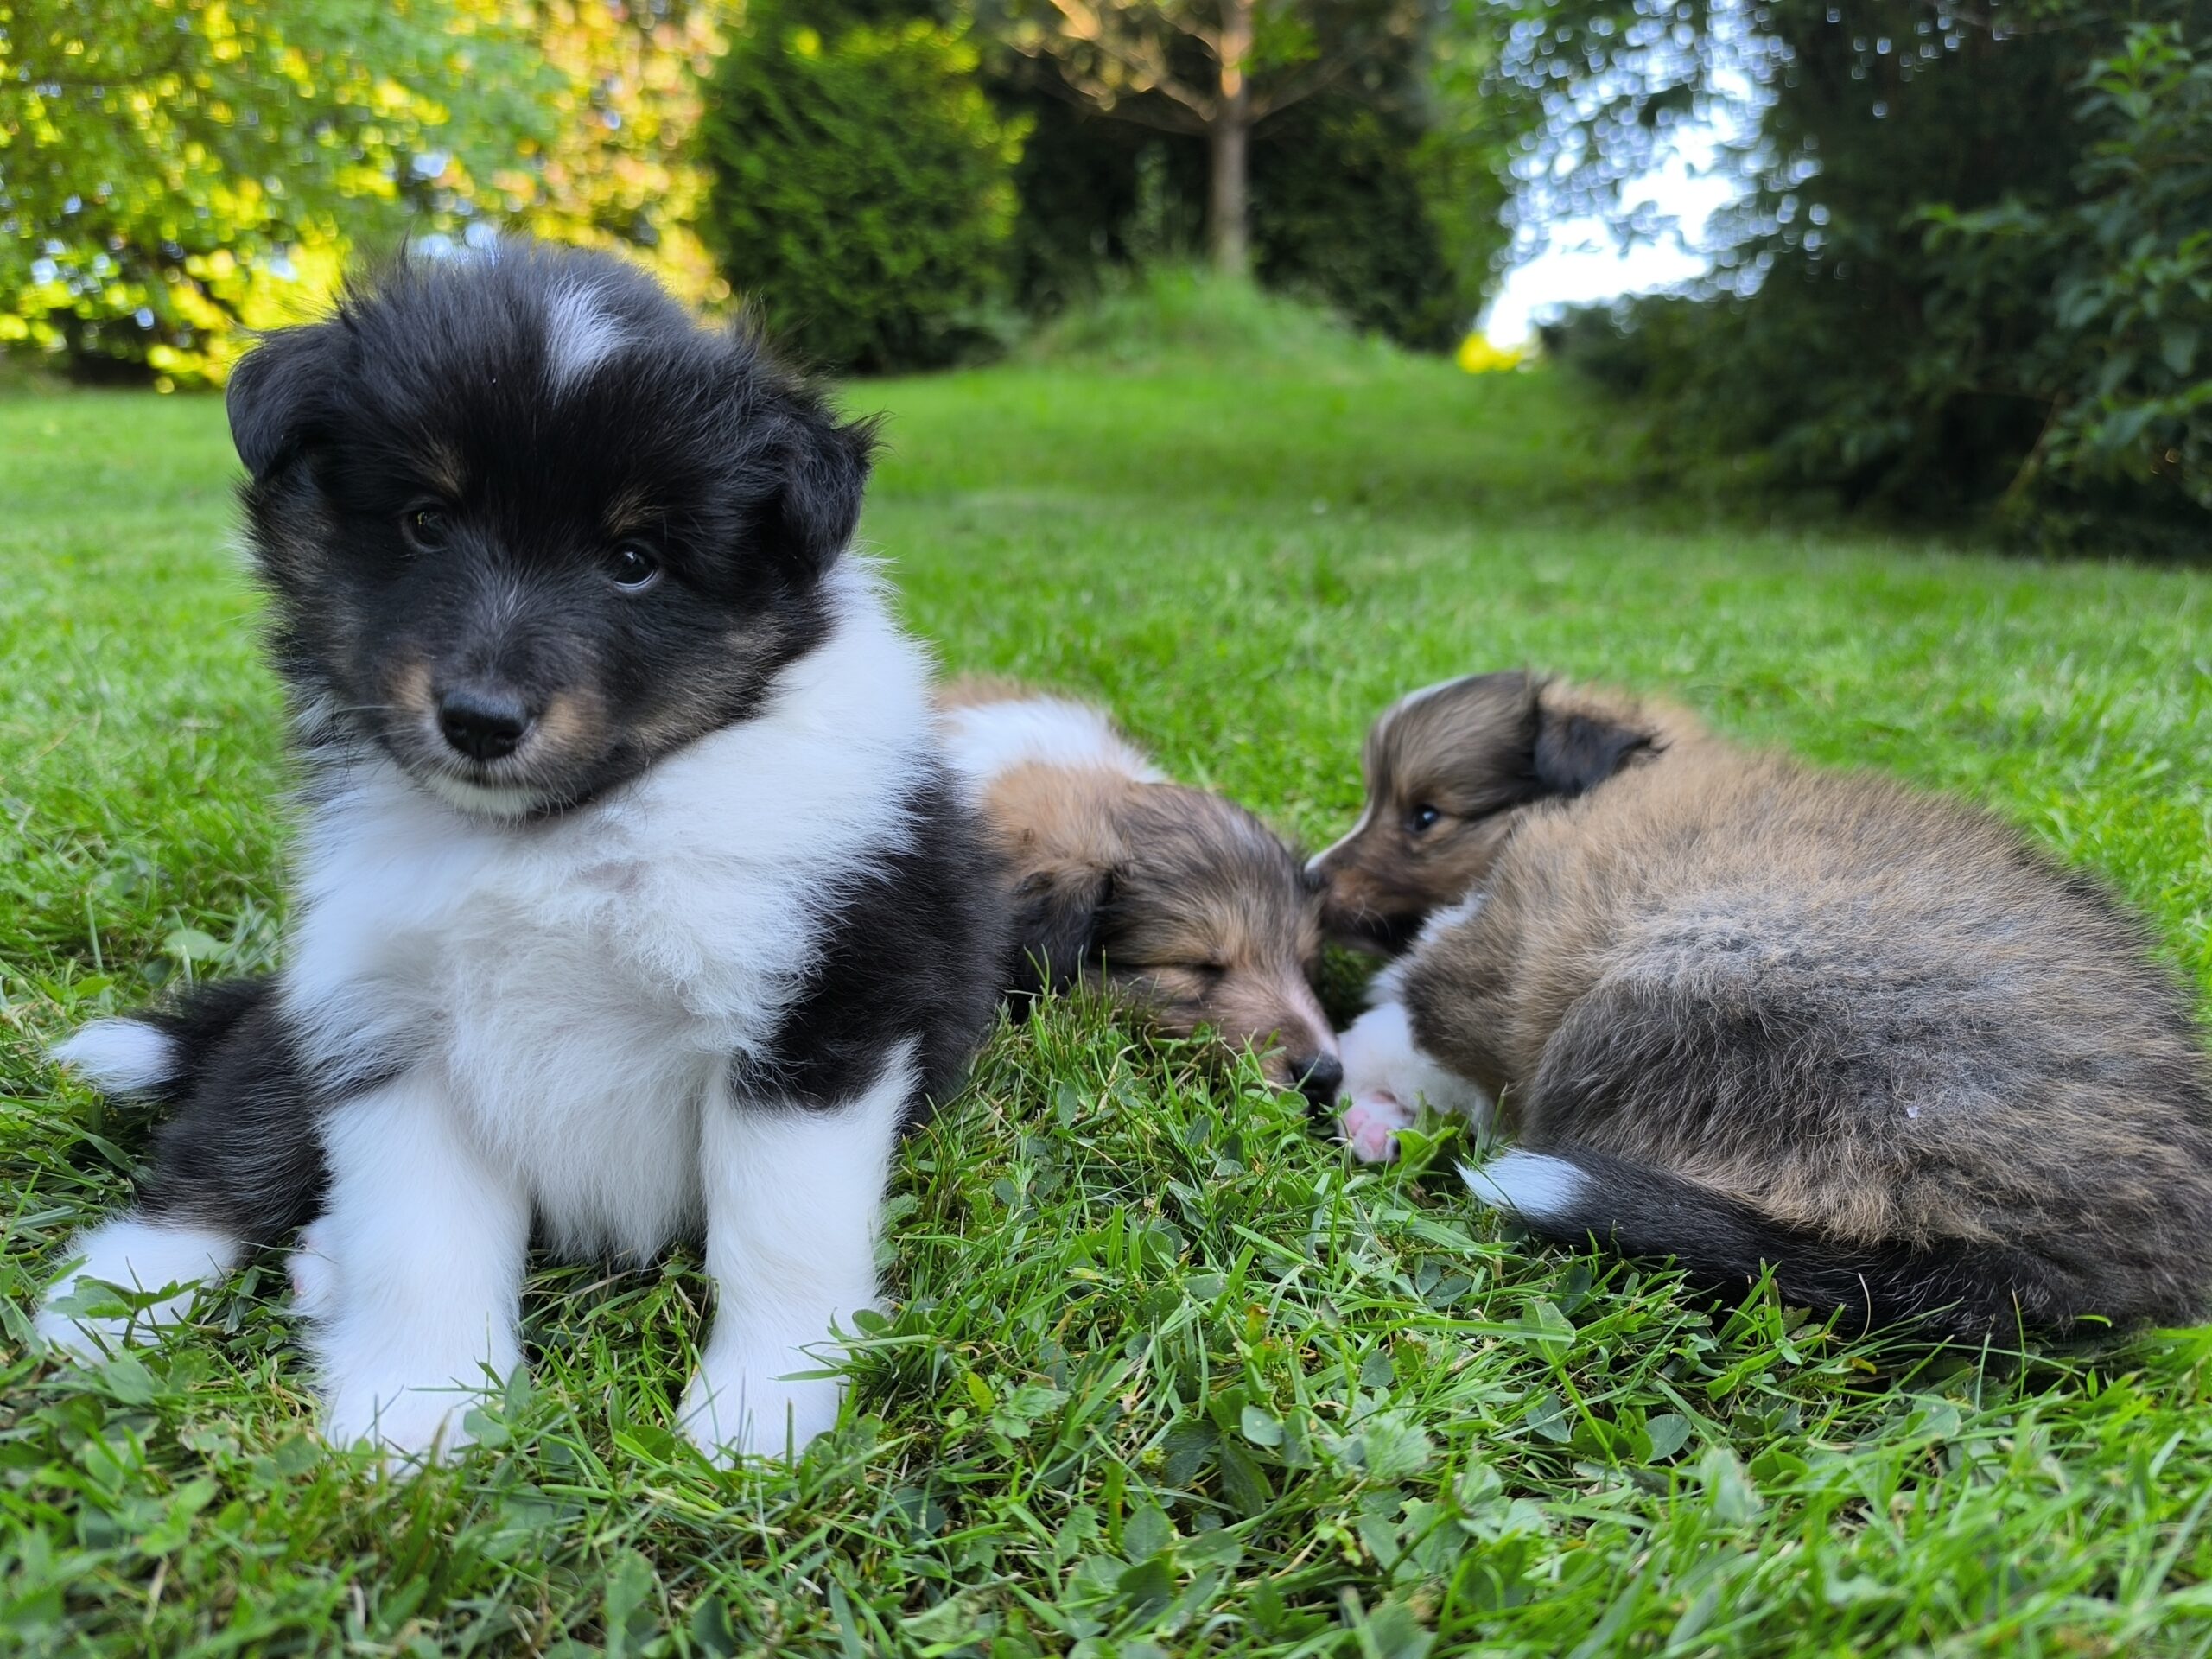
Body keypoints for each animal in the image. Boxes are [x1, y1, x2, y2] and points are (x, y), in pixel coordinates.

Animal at [37, 241, 1003, 1464]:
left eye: (634, 559)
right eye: (424, 522)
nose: (481, 722)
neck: (565, 832)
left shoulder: (821, 1010)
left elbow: (780, 1237)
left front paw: (760, 1420)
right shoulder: (385, 1017)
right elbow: (420, 1238)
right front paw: (417, 1413)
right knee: (234, 1134)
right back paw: (115, 1296)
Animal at [1309, 670, 2212, 1337]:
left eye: (1424, 815)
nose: (1310, 880)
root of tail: (2062, 1269)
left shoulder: (1494, 969)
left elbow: (1404, 1029)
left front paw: (1347, 1079)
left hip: (1669, 989)